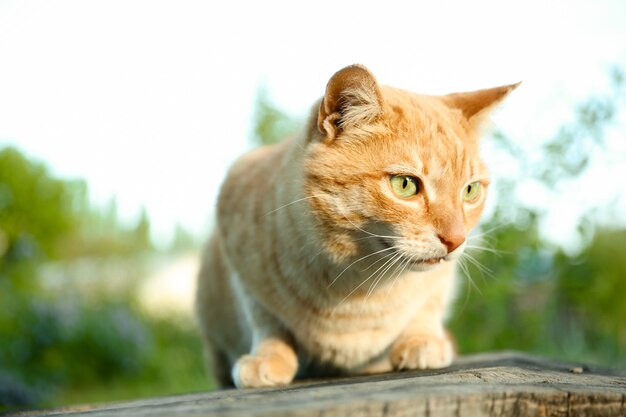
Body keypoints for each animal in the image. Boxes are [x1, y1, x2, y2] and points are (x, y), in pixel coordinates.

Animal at [196, 64, 516, 386]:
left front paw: (422, 341)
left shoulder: (441, 280)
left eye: (470, 191)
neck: (358, 284)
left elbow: (427, 306)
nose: (456, 240)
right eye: (405, 185)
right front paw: (269, 356)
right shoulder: (241, 263)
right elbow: (267, 320)